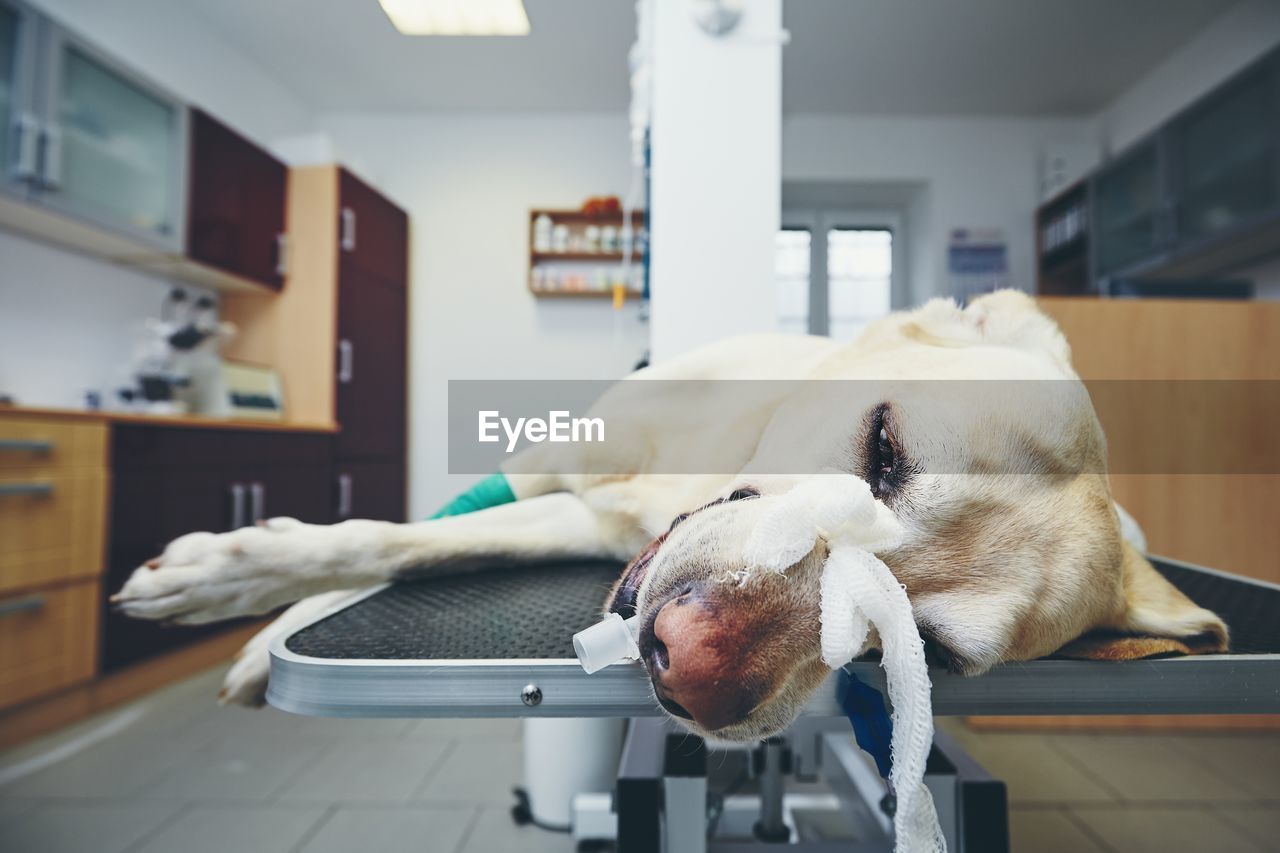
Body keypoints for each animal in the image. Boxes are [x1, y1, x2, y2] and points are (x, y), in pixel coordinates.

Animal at [115, 290, 1223, 737]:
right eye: (882, 447)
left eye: (935, 656)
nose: (686, 667)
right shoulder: (549, 473)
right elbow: (391, 537)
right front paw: (232, 586)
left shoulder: (585, 524)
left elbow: (424, 549)